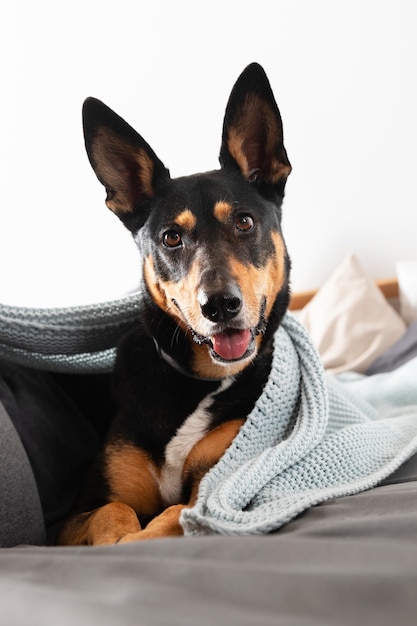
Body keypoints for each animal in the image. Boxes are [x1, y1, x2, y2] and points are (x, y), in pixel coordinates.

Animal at [57, 61, 292, 544]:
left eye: (244, 222)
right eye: (171, 238)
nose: (219, 306)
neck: (199, 381)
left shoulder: (216, 491)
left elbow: (172, 514)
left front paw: (133, 542)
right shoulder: (76, 513)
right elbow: (114, 510)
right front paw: (117, 540)